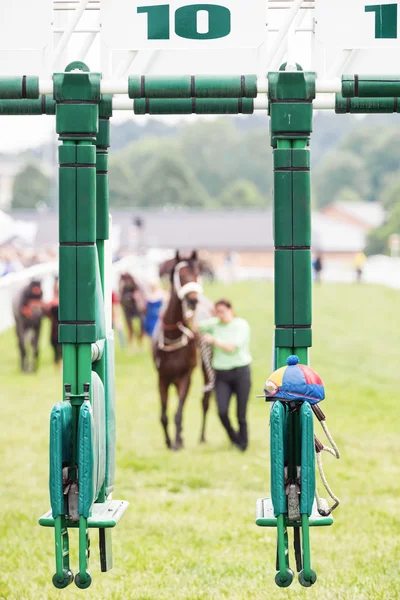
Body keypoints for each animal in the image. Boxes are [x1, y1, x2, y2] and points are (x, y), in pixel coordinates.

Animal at [153, 251, 214, 452]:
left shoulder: (185, 375)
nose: (193, 300)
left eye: (197, 273)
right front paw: (168, 440)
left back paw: (202, 437)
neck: (173, 334)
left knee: (205, 401)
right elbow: (163, 415)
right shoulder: (162, 377)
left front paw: (178, 442)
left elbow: (178, 412)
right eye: (181, 274)